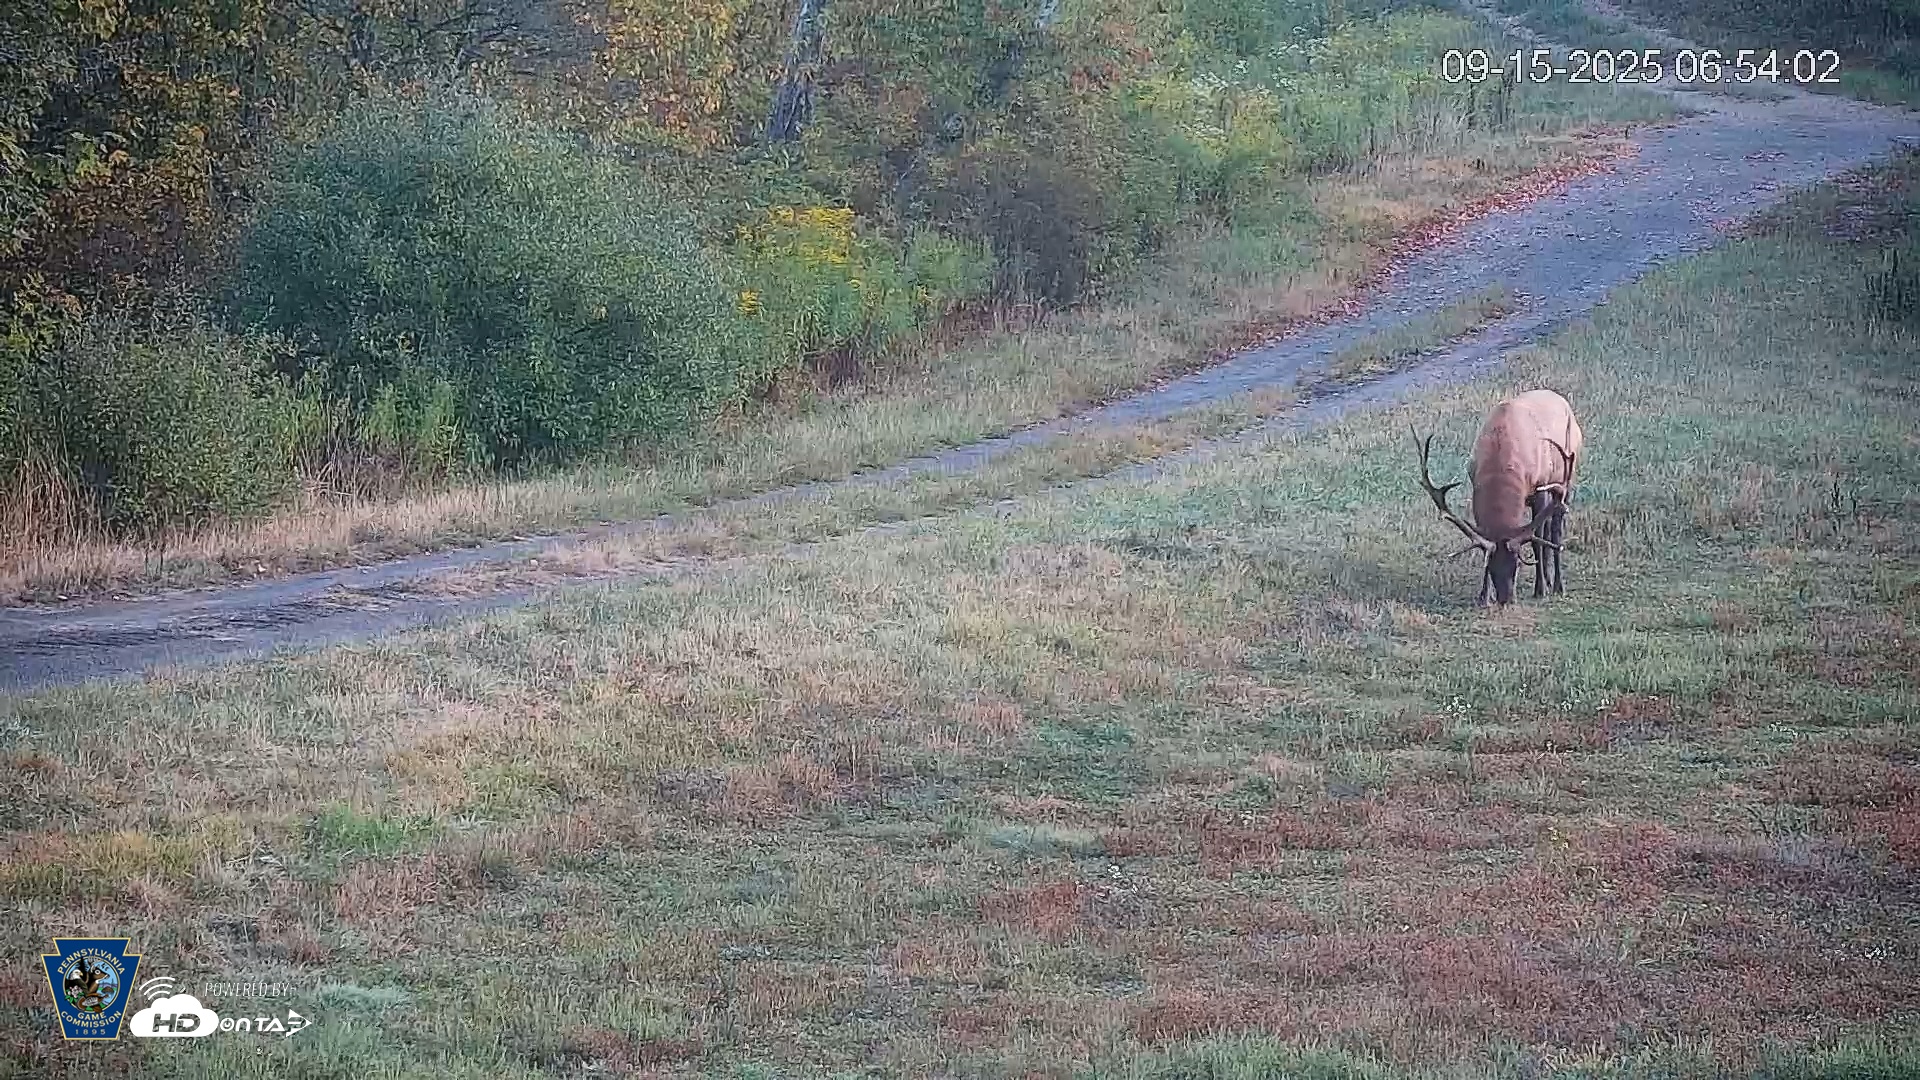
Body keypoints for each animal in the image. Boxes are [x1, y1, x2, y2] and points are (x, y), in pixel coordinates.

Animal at [1412, 389, 1583, 607]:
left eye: (1516, 564)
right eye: (1491, 567)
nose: (1505, 599)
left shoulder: (1541, 486)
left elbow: (1536, 541)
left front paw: (1540, 589)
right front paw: (1484, 596)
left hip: (1565, 481)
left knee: (1553, 531)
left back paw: (1557, 585)